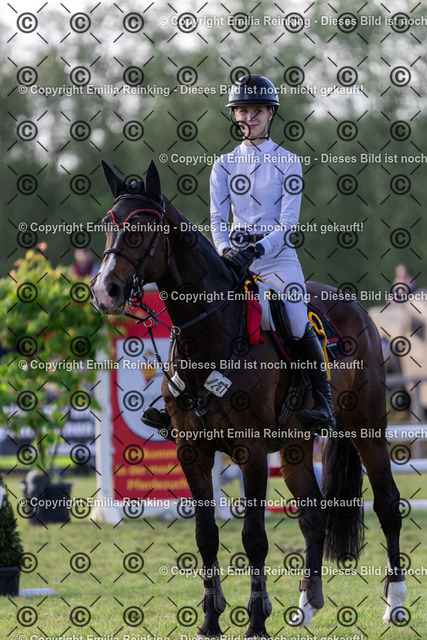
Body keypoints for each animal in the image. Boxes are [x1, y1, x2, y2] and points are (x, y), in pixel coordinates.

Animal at [90, 160, 408, 638]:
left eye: (142, 229)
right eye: (109, 225)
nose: (104, 291)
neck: (210, 334)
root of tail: (357, 309)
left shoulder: (251, 450)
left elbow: (254, 538)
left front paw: (256, 621)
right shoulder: (192, 451)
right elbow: (206, 535)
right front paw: (209, 621)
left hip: (366, 427)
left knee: (388, 506)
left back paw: (396, 604)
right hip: (296, 446)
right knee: (314, 515)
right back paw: (305, 606)